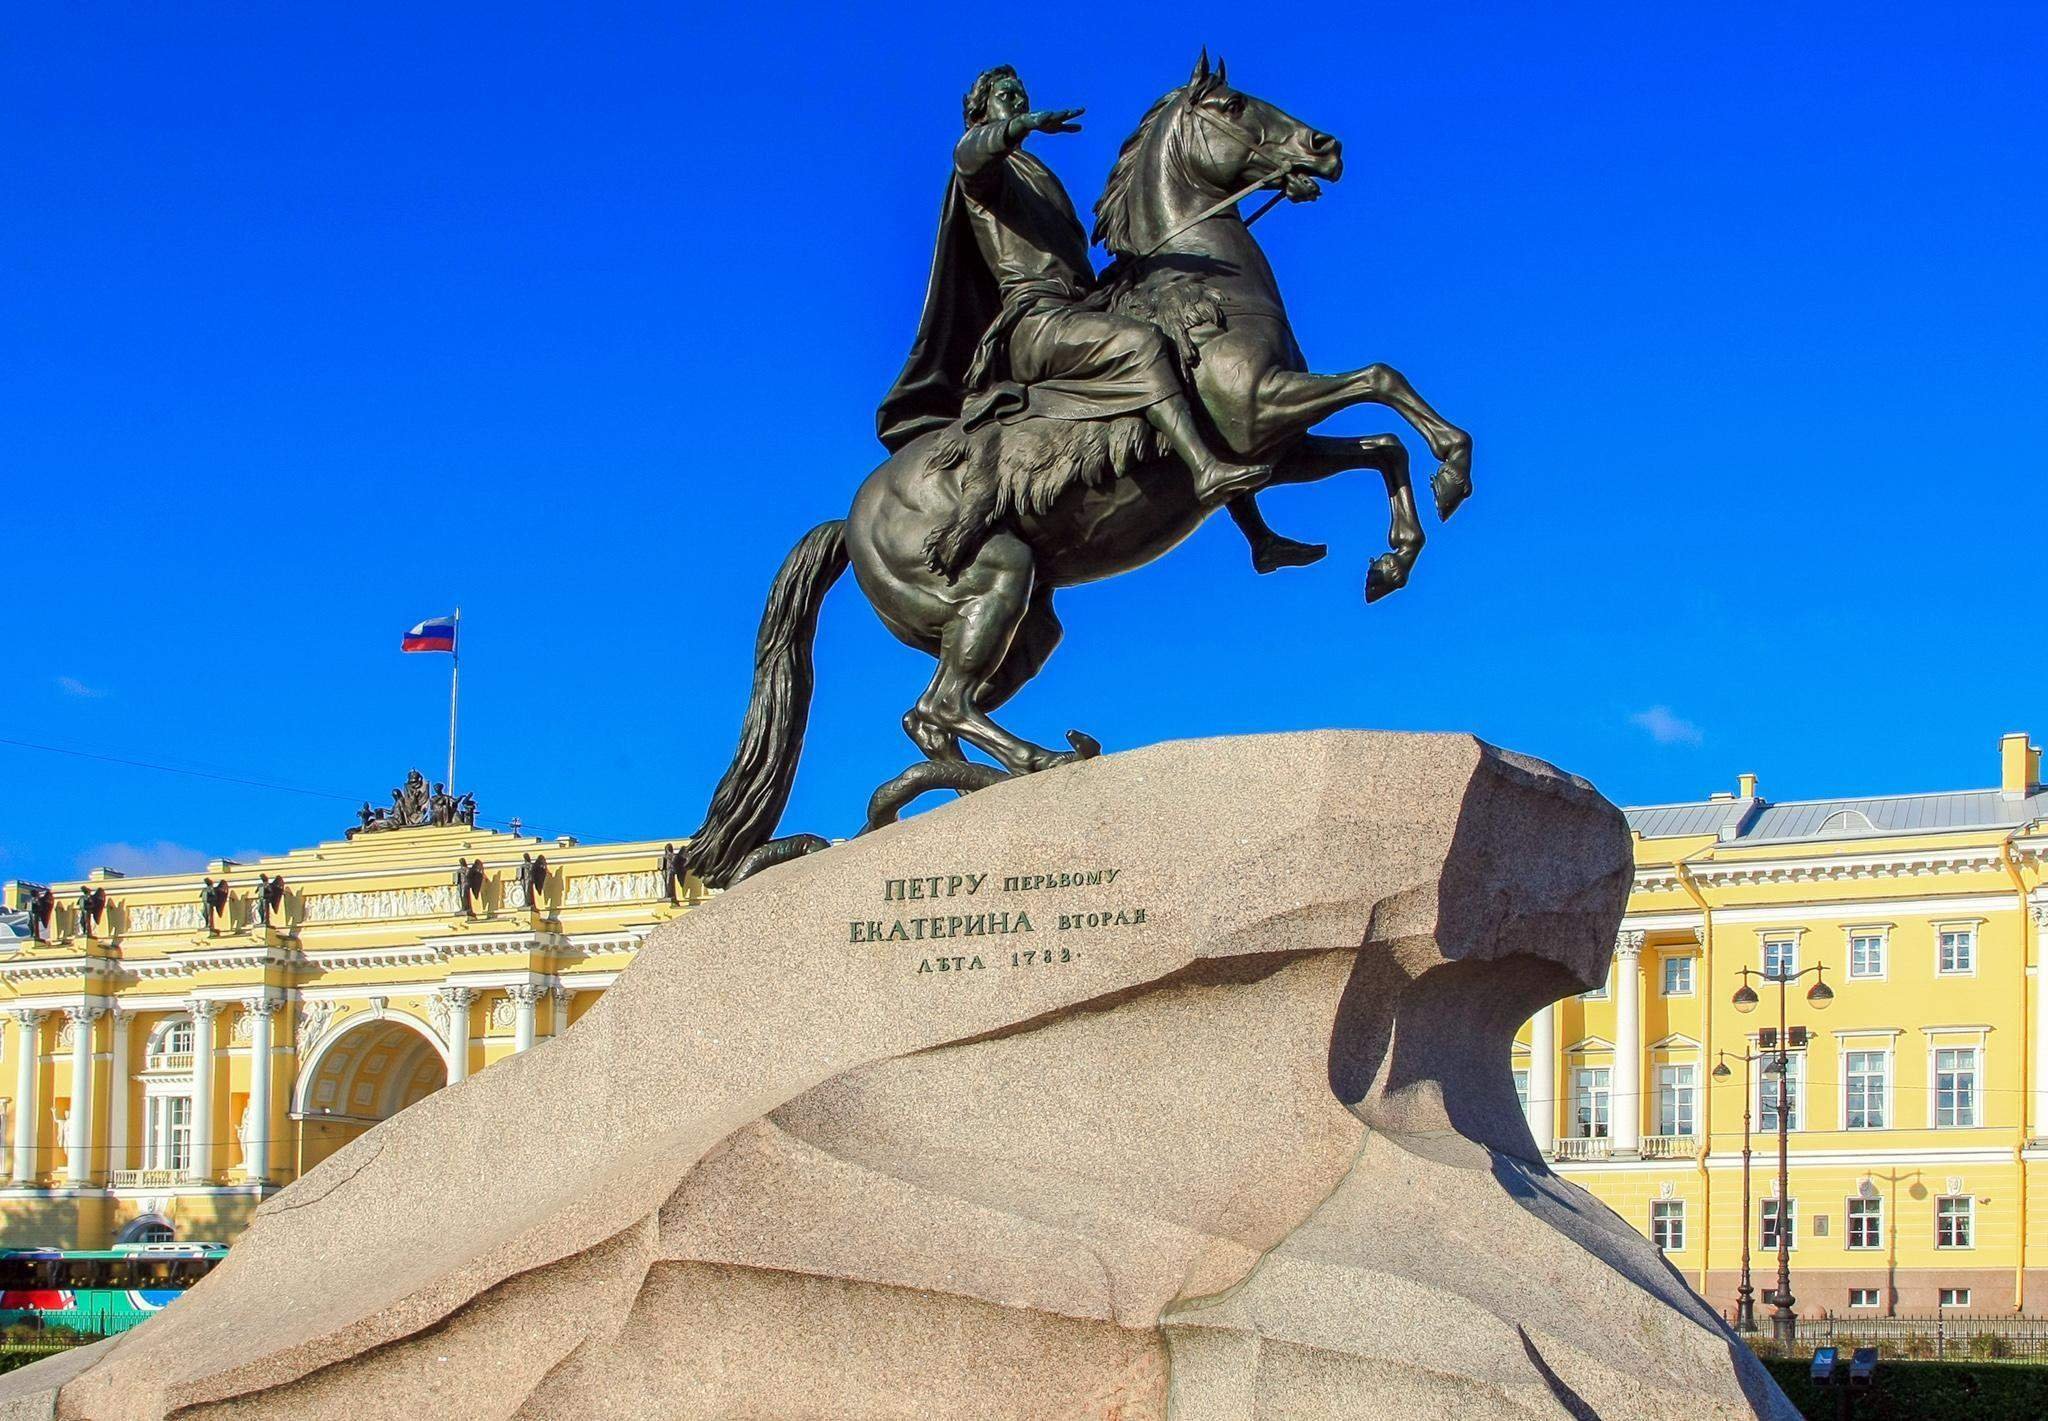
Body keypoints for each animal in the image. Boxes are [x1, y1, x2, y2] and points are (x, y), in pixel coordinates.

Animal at [688, 58, 1474, 892]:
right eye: (1232, 105)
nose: (1325, 148)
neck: (1204, 286)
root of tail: (848, 520)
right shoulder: (1261, 408)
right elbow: (1383, 380)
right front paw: (1454, 471)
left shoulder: (1280, 443)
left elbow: (1382, 443)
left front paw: (1393, 557)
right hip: (995, 577)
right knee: (942, 705)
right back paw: (1043, 760)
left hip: (1026, 623)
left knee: (927, 716)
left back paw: (957, 791)